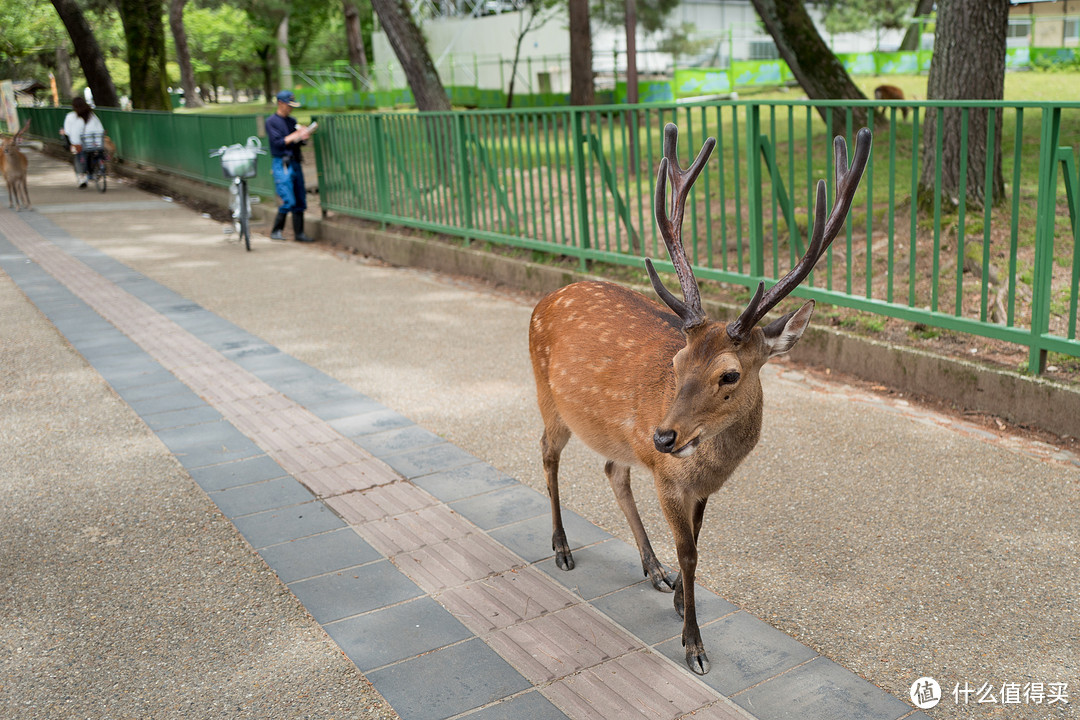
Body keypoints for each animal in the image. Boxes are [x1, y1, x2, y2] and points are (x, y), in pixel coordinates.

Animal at [527, 124, 872, 677]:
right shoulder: (668, 477)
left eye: (729, 373)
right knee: (547, 452)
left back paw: (653, 569)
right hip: (548, 397)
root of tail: (544, 300)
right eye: (676, 362)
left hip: (614, 436)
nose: (663, 435)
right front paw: (694, 644)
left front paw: (677, 598)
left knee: (613, 470)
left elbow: (697, 540)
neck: (713, 463)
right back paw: (561, 548)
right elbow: (689, 551)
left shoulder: (700, 485)